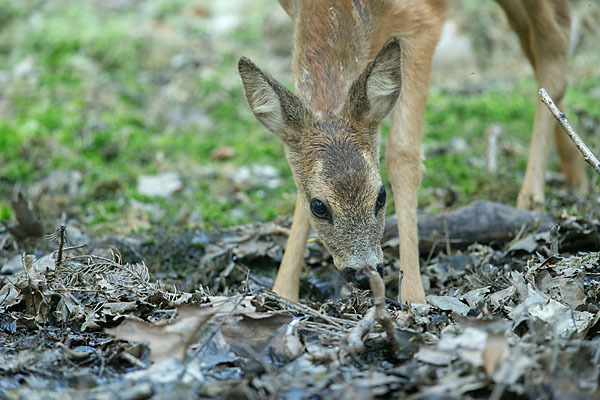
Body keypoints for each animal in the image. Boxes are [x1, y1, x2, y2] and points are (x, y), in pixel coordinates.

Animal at [237, 0, 588, 304]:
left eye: (381, 197)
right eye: (319, 206)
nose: (365, 274)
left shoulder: (421, 19)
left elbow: (403, 152)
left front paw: (414, 297)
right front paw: (282, 291)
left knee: (555, 43)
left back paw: (532, 197)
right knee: (539, 41)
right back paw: (576, 176)